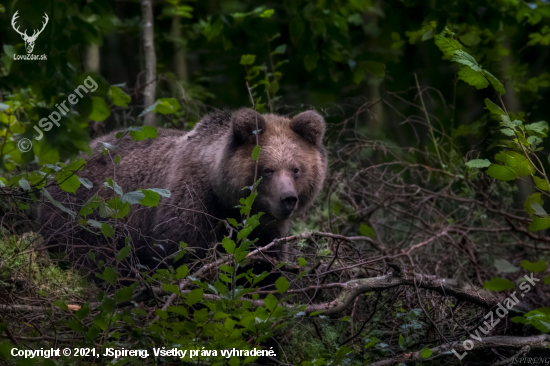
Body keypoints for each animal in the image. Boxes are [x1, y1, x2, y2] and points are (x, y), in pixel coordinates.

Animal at [37, 108, 328, 272]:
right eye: (267, 170)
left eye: (296, 169)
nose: (288, 199)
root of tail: (68, 162)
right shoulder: (191, 203)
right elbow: (179, 257)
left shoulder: (266, 231)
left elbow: (266, 269)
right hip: (85, 213)